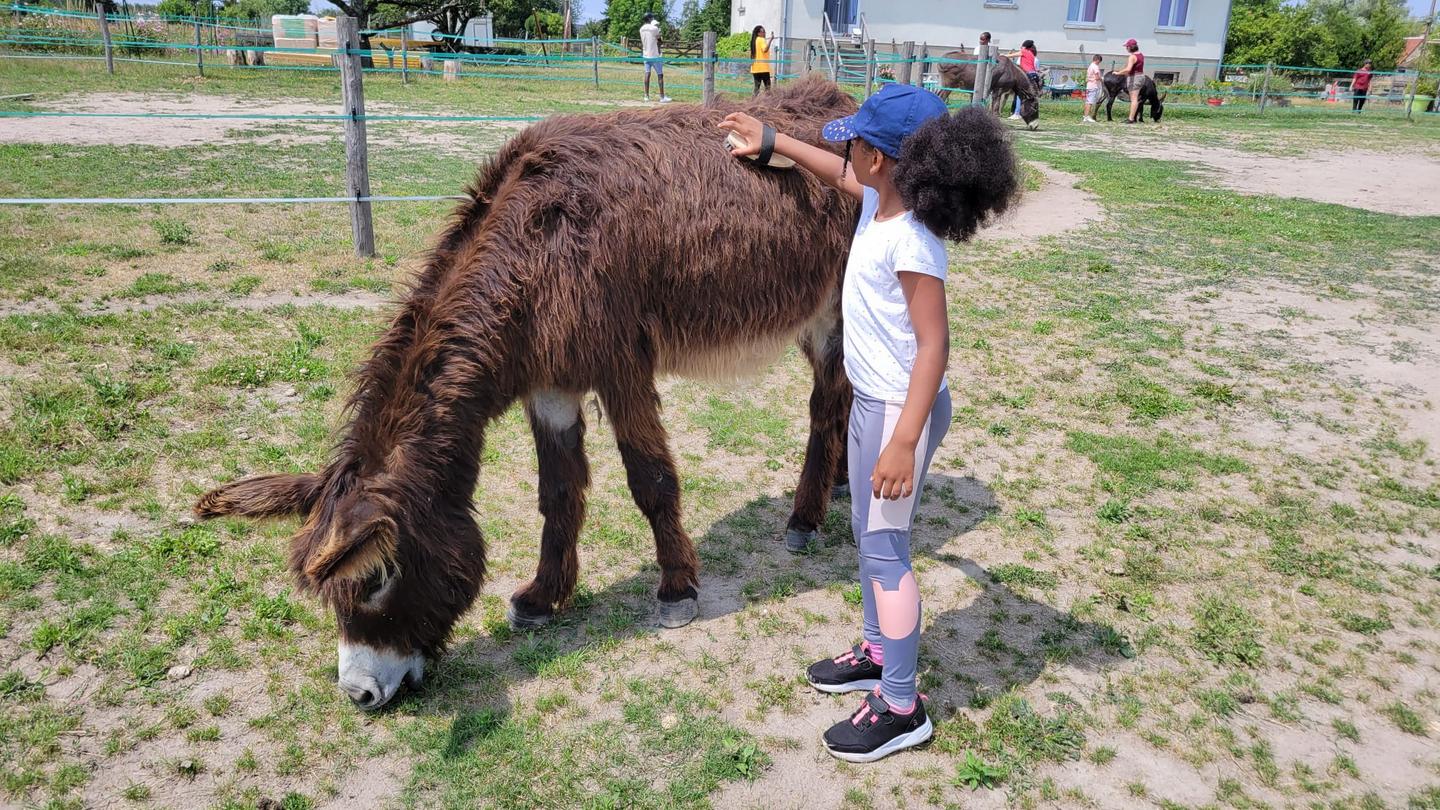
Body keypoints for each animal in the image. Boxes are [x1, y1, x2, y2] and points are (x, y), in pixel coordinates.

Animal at [195, 77, 858, 706]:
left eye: (378, 578)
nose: (359, 696)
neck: (536, 251)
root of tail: (840, 101)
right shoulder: (550, 381)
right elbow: (558, 491)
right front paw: (544, 595)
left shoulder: (620, 366)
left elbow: (650, 481)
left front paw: (676, 589)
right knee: (846, 399)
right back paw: (841, 485)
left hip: (835, 308)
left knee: (825, 406)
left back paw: (805, 517)